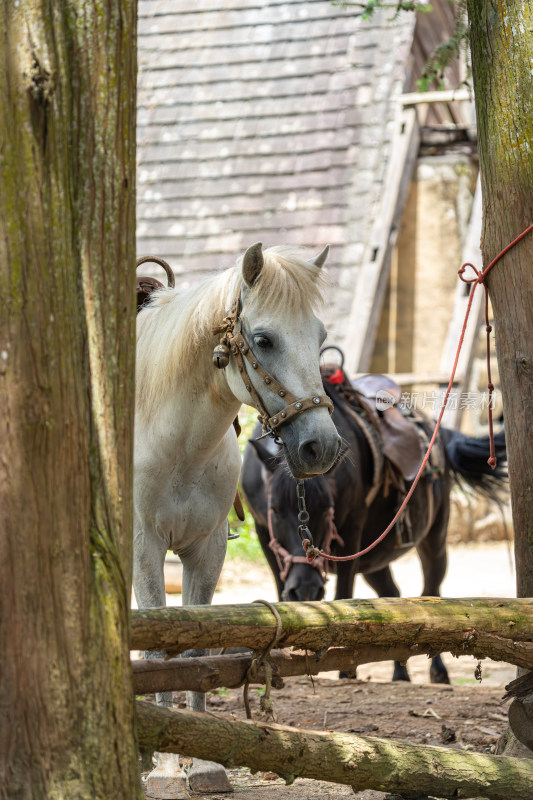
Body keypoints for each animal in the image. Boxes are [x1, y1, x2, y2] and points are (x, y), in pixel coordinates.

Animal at [134, 241, 340, 796]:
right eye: (264, 339)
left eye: (321, 338)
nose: (321, 446)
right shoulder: (144, 547)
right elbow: (158, 652)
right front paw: (165, 765)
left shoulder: (207, 551)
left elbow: (194, 653)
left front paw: (202, 763)